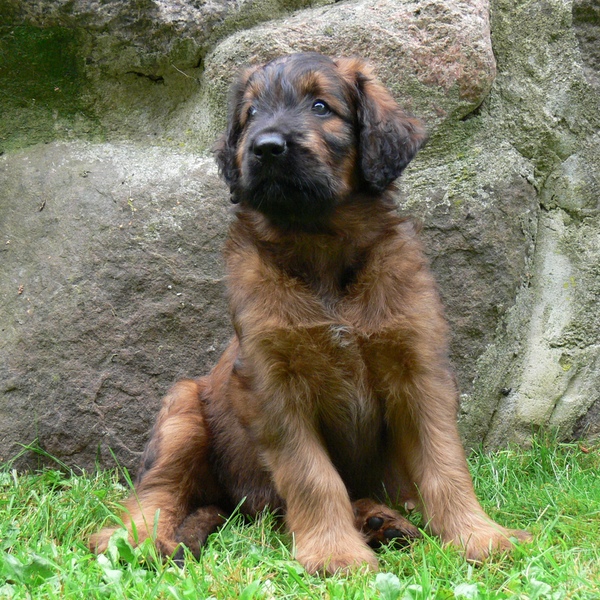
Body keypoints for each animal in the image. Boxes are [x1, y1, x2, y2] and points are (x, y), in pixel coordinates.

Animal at [90, 52, 530, 574]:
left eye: (321, 106)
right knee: (158, 491)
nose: (266, 148)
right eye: (251, 115)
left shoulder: (419, 370)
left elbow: (444, 463)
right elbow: (312, 476)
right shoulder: (274, 385)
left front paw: (478, 535)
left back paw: (382, 520)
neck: (319, 247)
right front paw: (335, 553)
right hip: (183, 411)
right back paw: (133, 539)